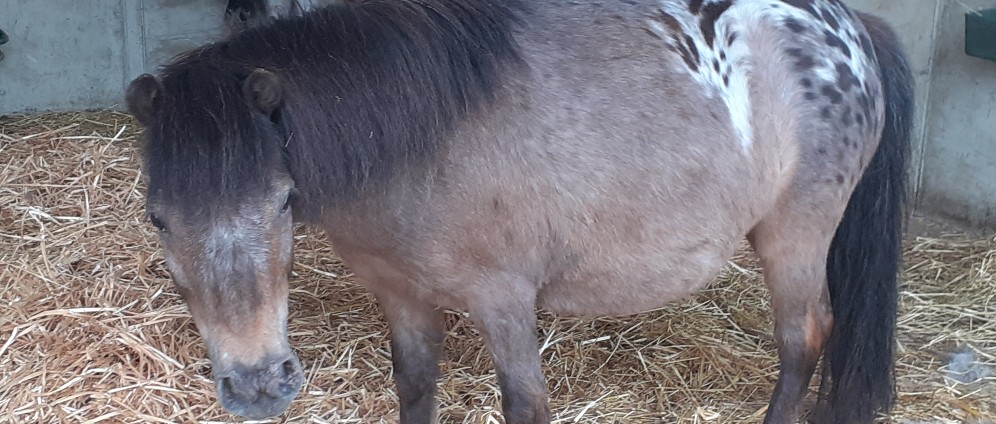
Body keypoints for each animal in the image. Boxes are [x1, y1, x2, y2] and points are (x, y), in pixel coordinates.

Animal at [125, 0, 914, 423]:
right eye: (158, 217)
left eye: (283, 199)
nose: (258, 384)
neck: (420, 138)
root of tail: (851, 29)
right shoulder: (403, 297)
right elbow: (415, 389)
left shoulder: (504, 301)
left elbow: (524, 403)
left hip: (794, 240)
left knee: (803, 339)